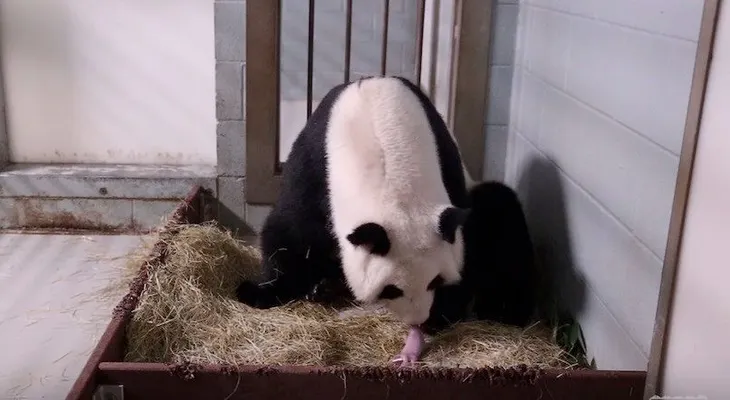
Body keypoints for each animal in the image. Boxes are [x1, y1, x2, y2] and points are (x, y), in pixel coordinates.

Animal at [235, 76, 531, 365]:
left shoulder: (446, 162)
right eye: (391, 290)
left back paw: (504, 312)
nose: (418, 319)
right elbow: (291, 227)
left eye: (434, 281)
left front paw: (442, 314)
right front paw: (260, 291)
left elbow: (465, 247)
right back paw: (323, 288)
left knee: (501, 213)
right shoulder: (317, 157)